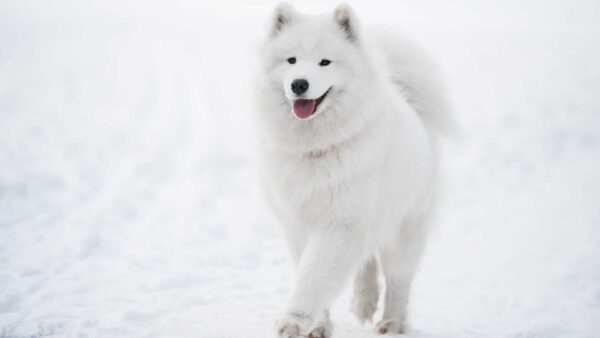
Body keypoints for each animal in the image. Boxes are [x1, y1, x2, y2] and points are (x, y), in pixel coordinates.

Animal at [252, 3, 450, 338]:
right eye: (291, 60)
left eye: (325, 62)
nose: (299, 84)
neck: (316, 149)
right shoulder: (298, 224)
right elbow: (310, 269)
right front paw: (318, 325)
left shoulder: (339, 224)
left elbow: (315, 274)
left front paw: (295, 319)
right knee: (366, 262)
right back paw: (364, 302)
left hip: (404, 230)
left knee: (398, 279)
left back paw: (392, 322)